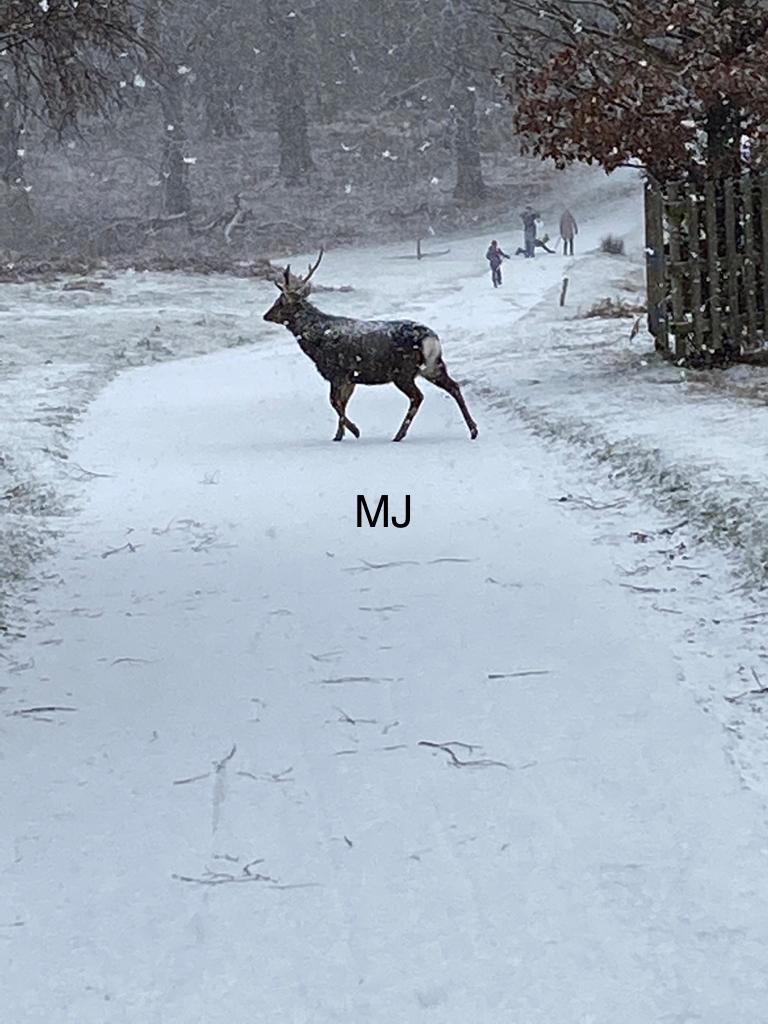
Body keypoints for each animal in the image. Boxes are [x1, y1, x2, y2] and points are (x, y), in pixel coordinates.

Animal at [262, 250, 478, 443]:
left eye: (280, 302)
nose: (266, 315)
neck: (316, 340)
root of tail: (430, 338)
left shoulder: (337, 372)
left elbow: (334, 403)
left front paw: (355, 431)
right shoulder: (350, 378)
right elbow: (342, 404)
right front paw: (339, 435)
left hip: (403, 371)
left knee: (418, 397)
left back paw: (399, 435)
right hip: (433, 366)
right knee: (454, 386)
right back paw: (473, 430)